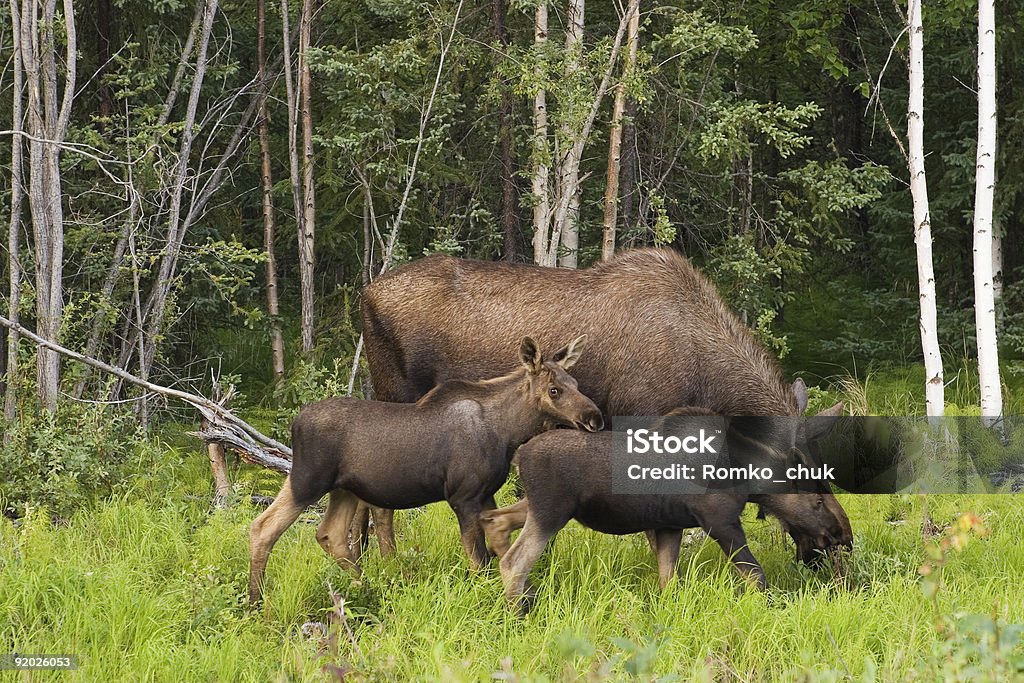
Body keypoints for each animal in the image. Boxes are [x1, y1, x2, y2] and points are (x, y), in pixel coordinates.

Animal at [246, 335, 598, 602]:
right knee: (263, 527)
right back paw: (256, 603)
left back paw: (369, 586)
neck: (508, 432)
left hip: (343, 489)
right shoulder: (463, 496)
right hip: (307, 479)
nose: (593, 418)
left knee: (330, 535)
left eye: (576, 382)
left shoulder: (485, 494)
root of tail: (295, 423)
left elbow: (497, 547)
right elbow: (478, 559)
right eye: (554, 390)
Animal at [360, 248, 847, 565]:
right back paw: (387, 565)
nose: (841, 539)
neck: (705, 380)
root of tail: (364, 293)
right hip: (397, 397)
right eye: (809, 485)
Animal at [491, 405, 851, 610]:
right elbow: (756, 576)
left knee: (496, 520)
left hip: (537, 506)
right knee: (514, 561)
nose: (843, 534)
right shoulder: (720, 521)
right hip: (551, 510)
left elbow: (669, 581)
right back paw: (518, 614)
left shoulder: (669, 526)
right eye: (818, 501)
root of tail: (520, 455)